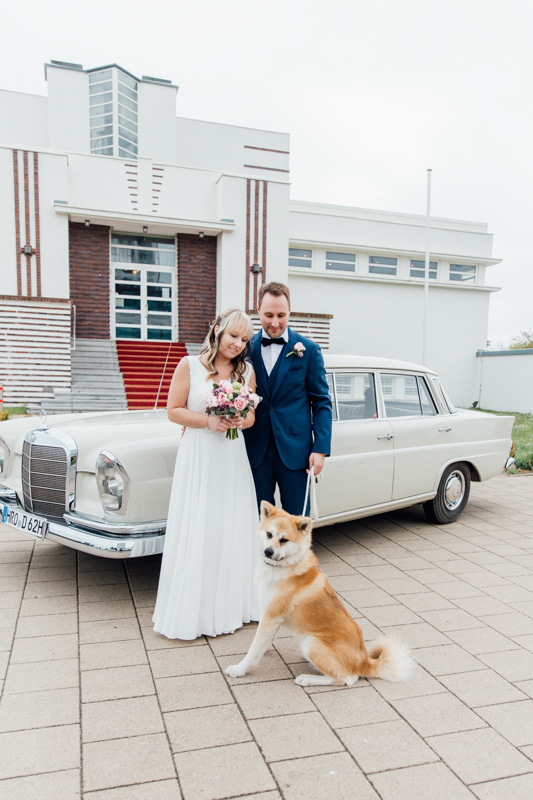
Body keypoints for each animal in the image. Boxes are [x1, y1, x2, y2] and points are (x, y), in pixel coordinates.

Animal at [223, 504, 412, 684]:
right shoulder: (270, 619)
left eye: (284, 540)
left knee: (346, 679)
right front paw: (264, 649)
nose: (268, 552)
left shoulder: (271, 616)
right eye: (269, 534)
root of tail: (364, 662)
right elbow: (262, 643)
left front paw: (239, 669)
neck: (284, 567)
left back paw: (308, 678)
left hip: (310, 642)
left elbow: (253, 650)